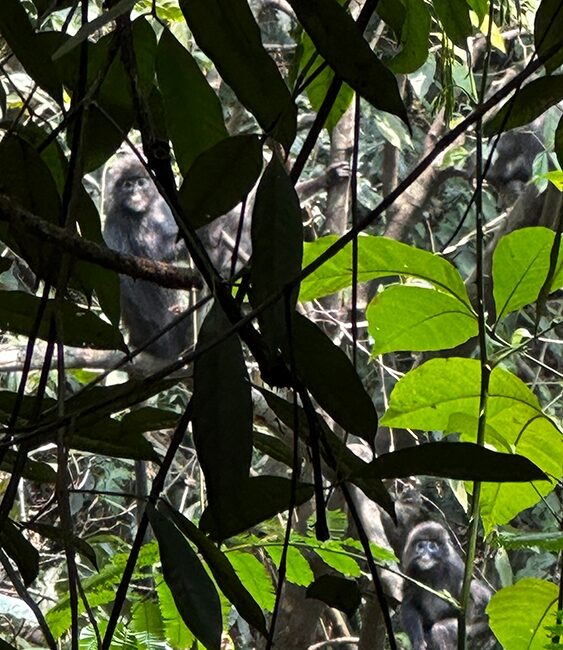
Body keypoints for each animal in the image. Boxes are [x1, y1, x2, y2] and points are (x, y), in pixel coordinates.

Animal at [401, 521, 494, 650]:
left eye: (432, 546)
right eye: (421, 546)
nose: (424, 554)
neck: (432, 569)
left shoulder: (454, 565)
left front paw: (473, 591)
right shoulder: (411, 569)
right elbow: (409, 604)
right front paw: (418, 641)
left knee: (440, 630)